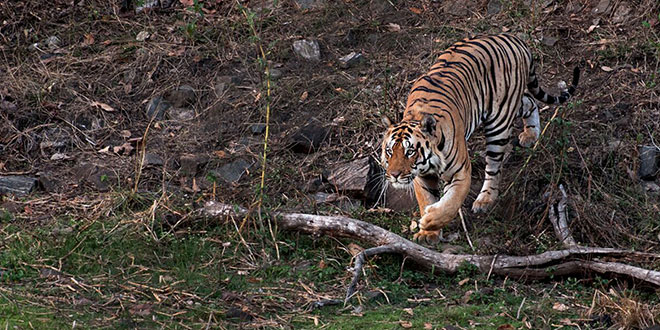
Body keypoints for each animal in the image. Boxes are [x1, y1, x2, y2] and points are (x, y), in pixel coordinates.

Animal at [378, 33, 580, 244]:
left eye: (410, 151)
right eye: (389, 151)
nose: (394, 175)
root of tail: (514, 38)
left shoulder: (460, 172)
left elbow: (450, 203)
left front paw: (429, 220)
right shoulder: (422, 177)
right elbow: (426, 199)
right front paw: (428, 234)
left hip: (499, 121)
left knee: (494, 168)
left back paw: (485, 200)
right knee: (530, 101)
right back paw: (531, 134)